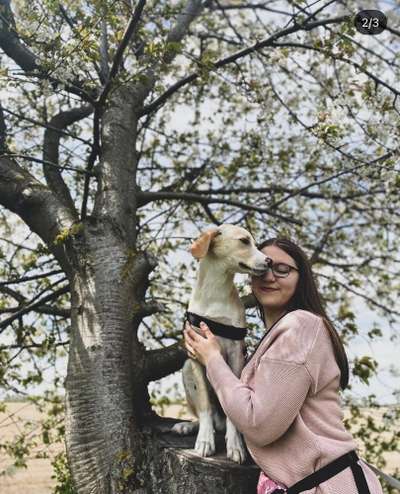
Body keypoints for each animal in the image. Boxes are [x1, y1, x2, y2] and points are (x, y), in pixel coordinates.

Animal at [172, 224, 268, 464]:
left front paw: (235, 446)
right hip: (186, 368)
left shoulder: (235, 355)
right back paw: (188, 426)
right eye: (244, 241)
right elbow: (205, 405)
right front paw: (205, 440)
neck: (216, 291)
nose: (269, 260)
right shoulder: (195, 356)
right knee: (204, 413)